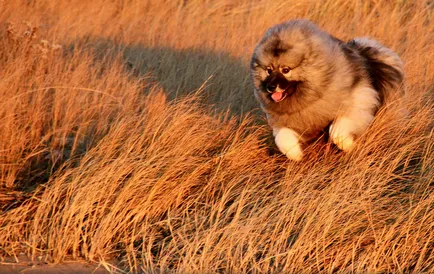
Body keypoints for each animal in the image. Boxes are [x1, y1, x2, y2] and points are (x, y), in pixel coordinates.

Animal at [249, 19, 406, 161]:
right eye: (269, 70)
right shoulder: (286, 121)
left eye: (286, 70)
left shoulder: (357, 103)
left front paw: (347, 145)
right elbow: (282, 138)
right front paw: (295, 154)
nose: (270, 87)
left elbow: (337, 131)